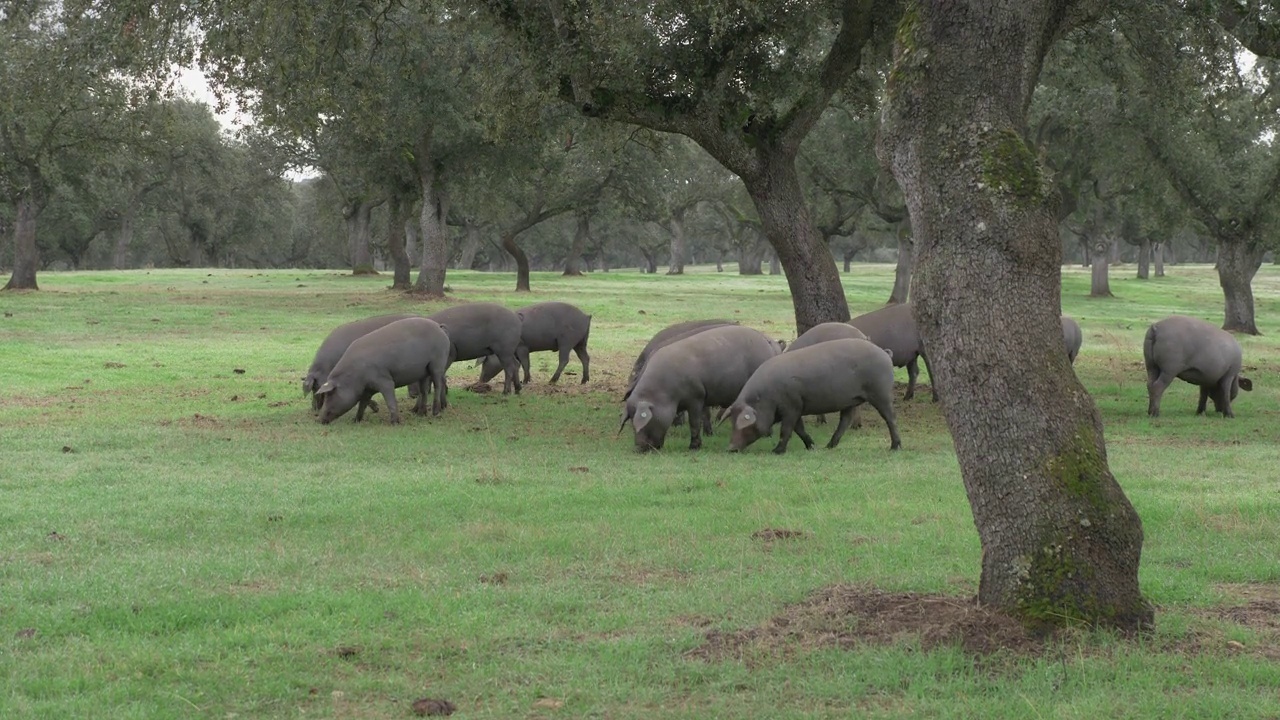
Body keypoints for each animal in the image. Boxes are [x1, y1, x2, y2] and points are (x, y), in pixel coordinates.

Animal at [316, 316, 453, 422]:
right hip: (423, 372)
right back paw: (420, 414)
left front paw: (394, 422)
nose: (320, 420)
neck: (354, 376)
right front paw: (356, 420)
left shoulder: (384, 380)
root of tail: (439, 326)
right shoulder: (367, 389)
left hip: (437, 363)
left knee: (438, 384)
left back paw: (435, 412)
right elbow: (362, 403)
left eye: (330, 394)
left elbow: (390, 400)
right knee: (424, 391)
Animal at [619, 324, 778, 448]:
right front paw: (708, 435)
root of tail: (767, 342)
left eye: (642, 422)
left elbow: (695, 422)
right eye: (631, 422)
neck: (664, 392)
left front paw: (693, 447)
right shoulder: (703, 396)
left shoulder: (696, 397)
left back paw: (768, 436)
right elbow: (704, 416)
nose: (638, 447)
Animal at [721, 338, 901, 450]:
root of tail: (885, 353)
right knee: (845, 420)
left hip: (881, 393)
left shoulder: (791, 405)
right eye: (732, 422)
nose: (730, 448)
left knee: (890, 418)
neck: (766, 397)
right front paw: (811, 447)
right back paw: (829, 446)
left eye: (743, 424)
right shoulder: (797, 406)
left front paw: (777, 451)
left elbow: (786, 429)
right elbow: (799, 429)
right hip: (851, 400)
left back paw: (895, 447)